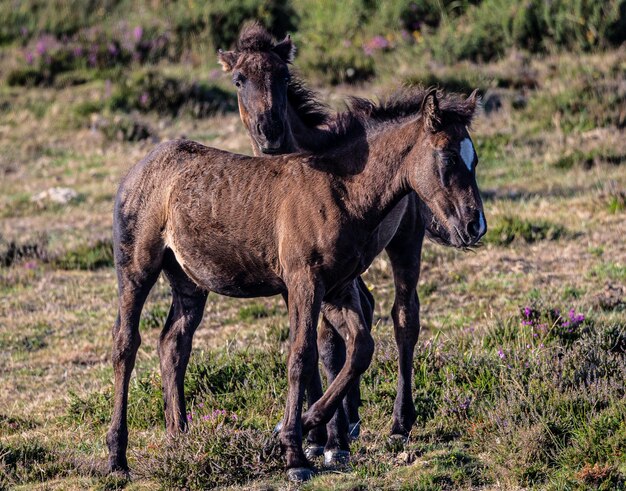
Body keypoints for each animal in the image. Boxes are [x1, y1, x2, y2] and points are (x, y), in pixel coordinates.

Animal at [106, 83, 482, 480]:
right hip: (136, 268)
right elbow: (301, 355)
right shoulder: (305, 281)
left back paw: (180, 442)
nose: (474, 225)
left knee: (173, 344)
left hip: (189, 282)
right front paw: (295, 453)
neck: (341, 189)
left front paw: (306, 428)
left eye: (474, 161)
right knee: (126, 344)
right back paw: (117, 459)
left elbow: (360, 347)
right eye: (447, 159)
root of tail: (138, 169)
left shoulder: (338, 287)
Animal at [217, 22, 486, 462]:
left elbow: (328, 344)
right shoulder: (298, 279)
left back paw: (398, 423)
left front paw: (329, 438)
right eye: (240, 79)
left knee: (404, 318)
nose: (269, 131)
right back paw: (353, 414)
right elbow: (314, 344)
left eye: (283, 76)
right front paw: (316, 431)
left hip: (406, 241)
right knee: (371, 309)